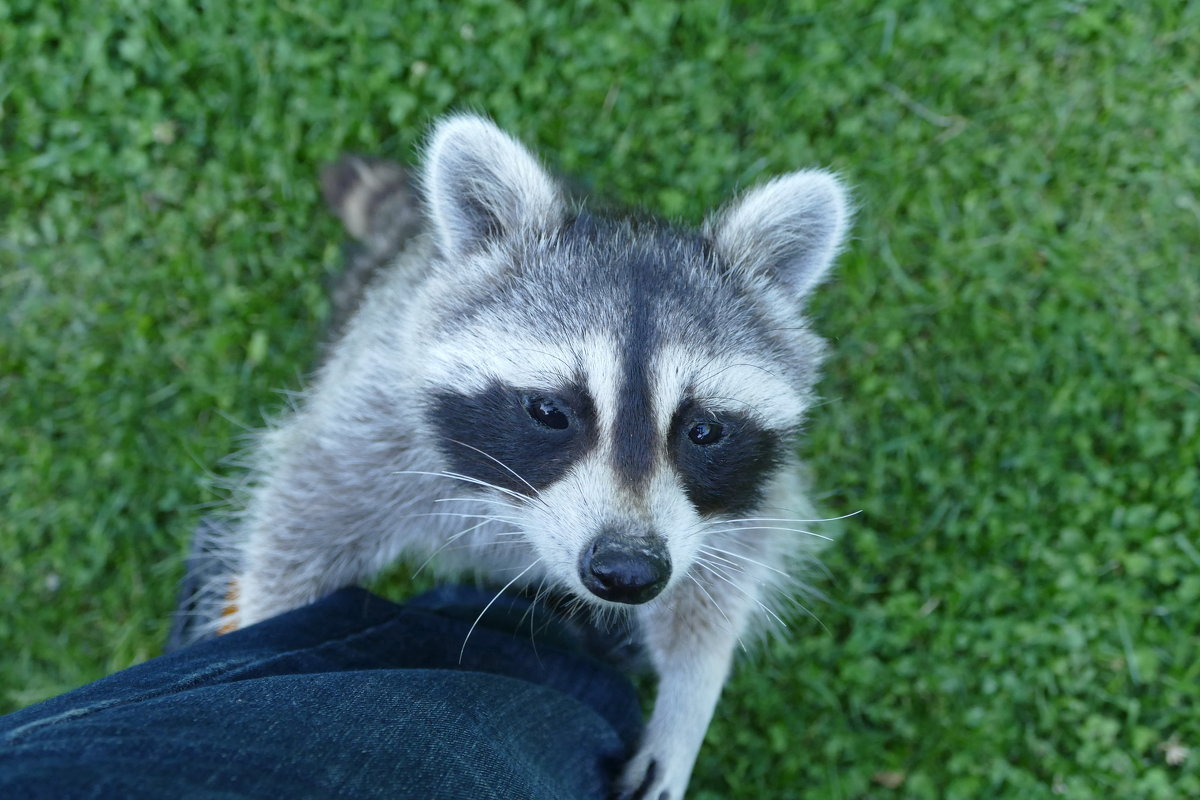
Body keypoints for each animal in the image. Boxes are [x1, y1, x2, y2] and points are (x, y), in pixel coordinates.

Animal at [206, 113, 849, 800]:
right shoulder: (383, 405)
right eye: (549, 411)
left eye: (703, 430)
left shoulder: (742, 486)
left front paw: (690, 692)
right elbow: (309, 504)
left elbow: (734, 558)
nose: (627, 572)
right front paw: (265, 619)